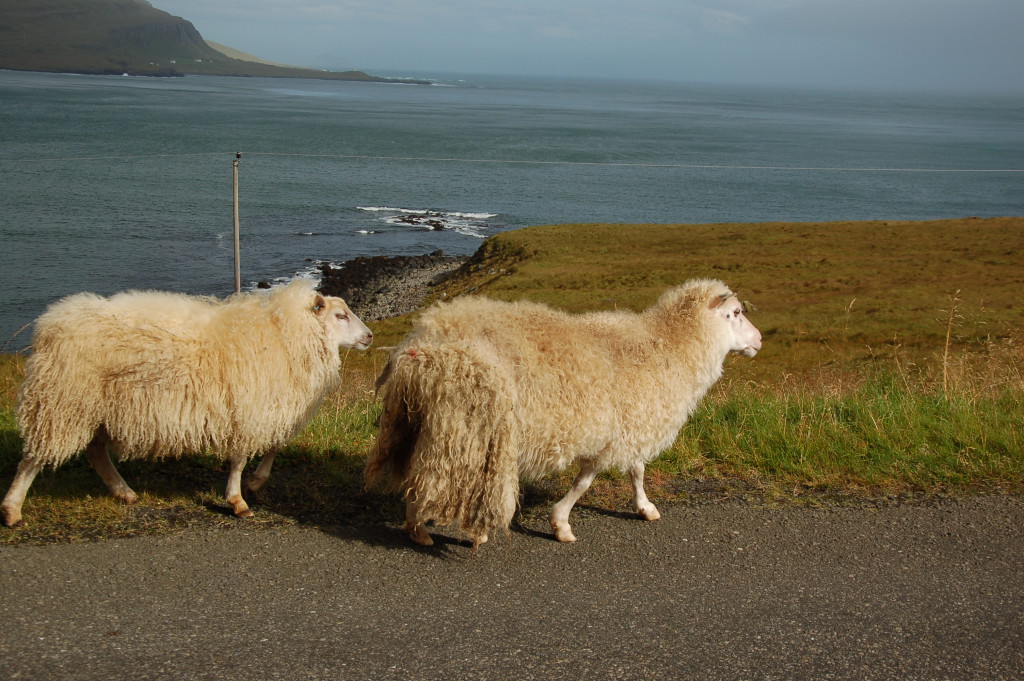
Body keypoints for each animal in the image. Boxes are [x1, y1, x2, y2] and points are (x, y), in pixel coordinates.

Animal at [4, 278, 372, 524]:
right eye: (340, 316)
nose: (369, 336)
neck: (285, 335)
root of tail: (51, 325)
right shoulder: (248, 407)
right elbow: (241, 457)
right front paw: (237, 500)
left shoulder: (271, 405)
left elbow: (275, 445)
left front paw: (256, 482)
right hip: (63, 401)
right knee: (35, 457)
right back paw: (12, 509)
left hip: (94, 408)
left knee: (95, 452)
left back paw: (124, 492)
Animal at [366, 276, 761, 548]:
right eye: (735, 314)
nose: (758, 341)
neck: (669, 344)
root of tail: (422, 340)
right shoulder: (615, 431)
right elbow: (585, 482)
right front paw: (561, 524)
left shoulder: (629, 422)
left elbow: (636, 470)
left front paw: (644, 507)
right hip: (466, 423)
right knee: (432, 475)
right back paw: (431, 529)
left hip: (421, 420)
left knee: (419, 472)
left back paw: (417, 528)